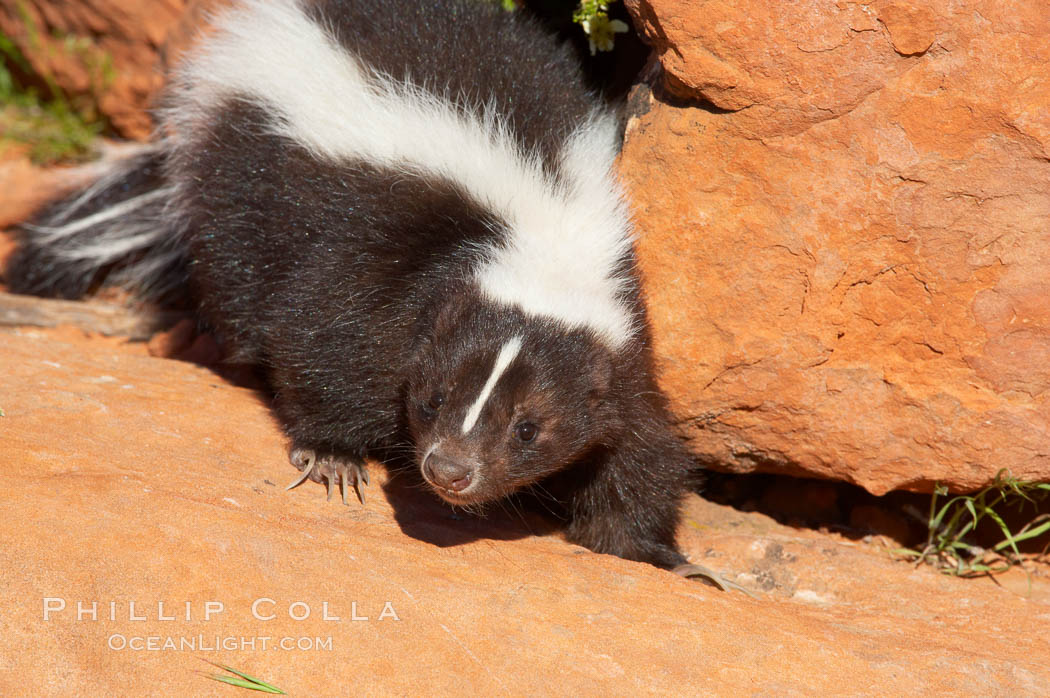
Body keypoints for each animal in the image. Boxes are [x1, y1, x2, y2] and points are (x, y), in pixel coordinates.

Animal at [6, 0, 713, 575]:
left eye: (529, 429)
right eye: (432, 400)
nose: (448, 470)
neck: (544, 227)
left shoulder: (616, 335)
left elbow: (640, 442)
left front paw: (659, 556)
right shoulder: (387, 252)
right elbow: (328, 336)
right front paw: (332, 456)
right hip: (248, 179)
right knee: (235, 272)